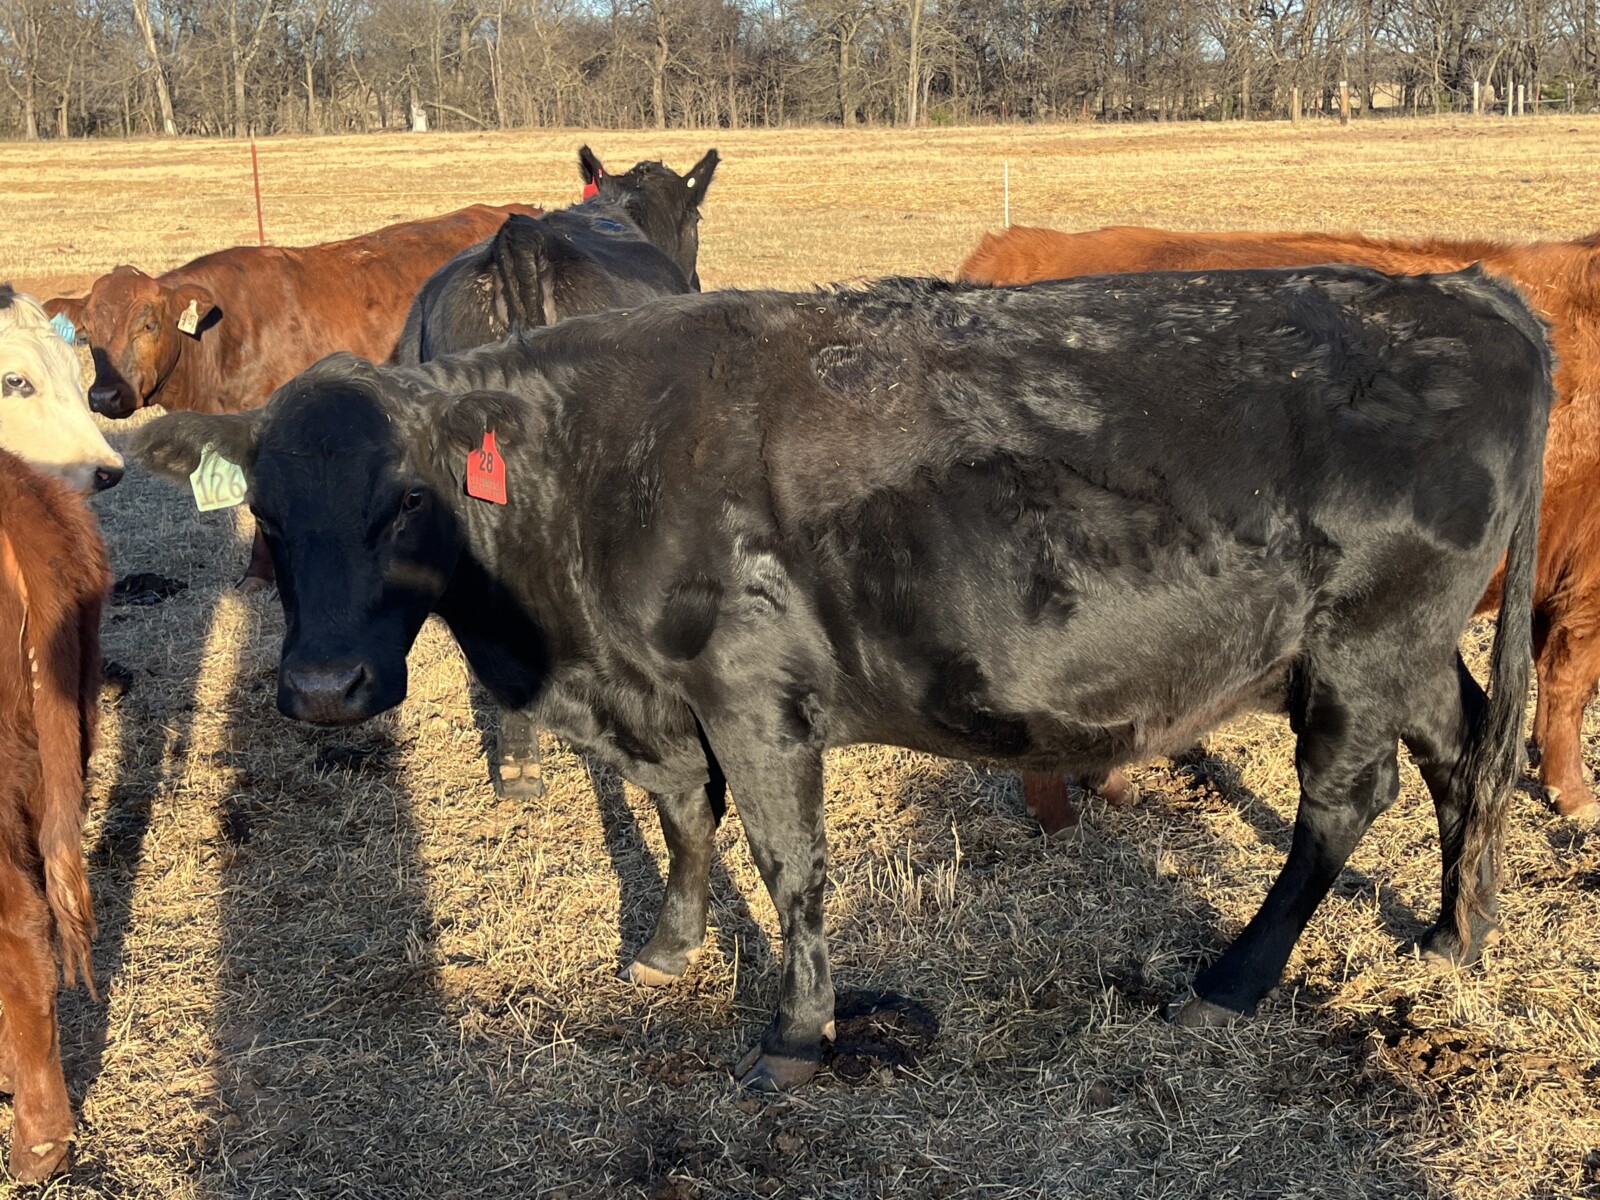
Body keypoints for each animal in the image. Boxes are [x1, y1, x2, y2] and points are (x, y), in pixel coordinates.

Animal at [133, 266, 1548, 1093]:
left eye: (403, 505)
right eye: (264, 512)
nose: (322, 688)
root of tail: (1468, 289)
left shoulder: (754, 701)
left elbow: (787, 864)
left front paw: (795, 1033)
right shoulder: (665, 707)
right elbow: (682, 823)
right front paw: (670, 946)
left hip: (1364, 642)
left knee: (1341, 805)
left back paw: (1233, 982)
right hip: (1403, 650)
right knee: (1461, 752)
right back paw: (1453, 932)